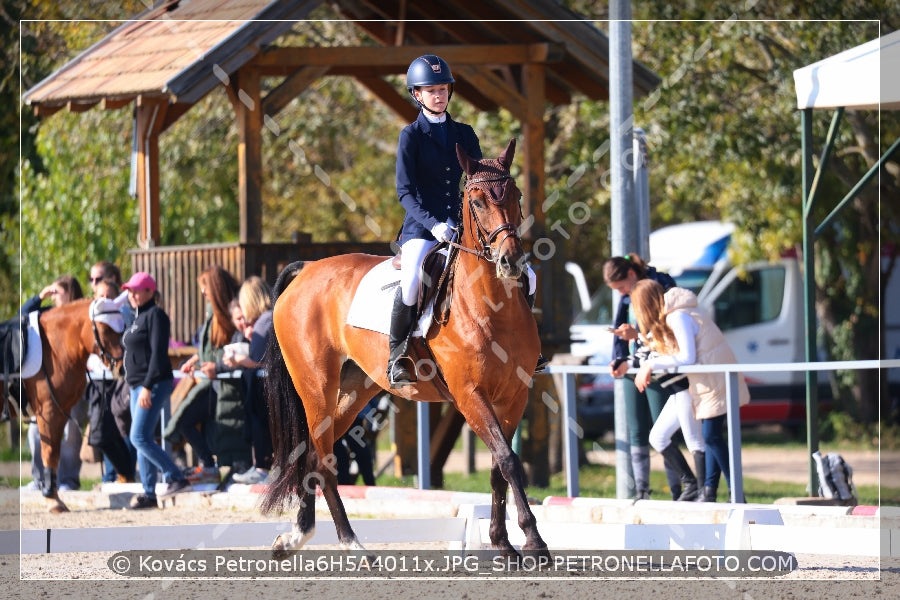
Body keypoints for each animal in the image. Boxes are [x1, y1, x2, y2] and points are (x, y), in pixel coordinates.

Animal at [23, 296, 125, 510]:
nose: (121, 369)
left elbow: (55, 453)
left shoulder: (61, 411)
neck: (54, 349)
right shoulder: (48, 411)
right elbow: (49, 452)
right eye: (105, 330)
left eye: (123, 329)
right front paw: (52, 500)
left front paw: (53, 495)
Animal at [262, 138, 548, 560]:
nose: (510, 261)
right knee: (326, 460)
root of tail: (308, 269)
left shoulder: (514, 395)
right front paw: (533, 540)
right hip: (316, 387)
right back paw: (352, 544)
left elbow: (500, 465)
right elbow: (508, 461)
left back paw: (295, 537)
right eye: (476, 201)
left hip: (354, 390)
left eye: (516, 195)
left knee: (315, 454)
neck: (492, 306)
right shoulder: (470, 395)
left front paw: (502, 542)